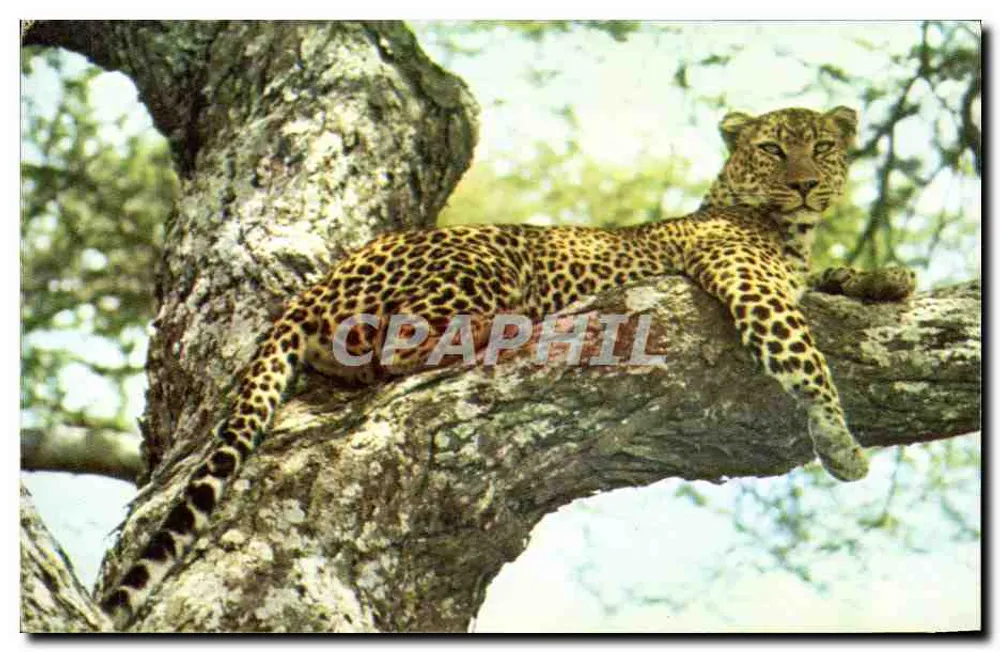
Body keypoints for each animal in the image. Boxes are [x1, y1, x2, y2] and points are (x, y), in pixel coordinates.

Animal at [100, 105, 915, 626]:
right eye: (775, 149)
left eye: (823, 147)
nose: (806, 181)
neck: (789, 227)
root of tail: (317, 282)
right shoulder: (750, 283)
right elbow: (803, 354)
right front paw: (841, 440)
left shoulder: (793, 274)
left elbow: (832, 283)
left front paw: (887, 277)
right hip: (485, 260)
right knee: (395, 348)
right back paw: (511, 325)